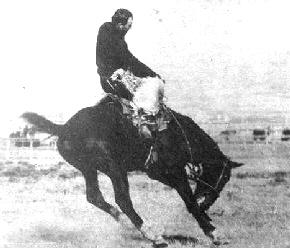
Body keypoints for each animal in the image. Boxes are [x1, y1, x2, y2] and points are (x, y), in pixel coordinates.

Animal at [21, 95, 242, 248]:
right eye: (223, 177)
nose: (207, 202)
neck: (177, 134)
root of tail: (65, 128)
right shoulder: (175, 172)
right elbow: (189, 201)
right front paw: (214, 234)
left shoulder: (160, 173)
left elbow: (189, 201)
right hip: (114, 168)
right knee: (123, 199)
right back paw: (153, 235)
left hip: (88, 169)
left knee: (95, 196)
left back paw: (125, 223)